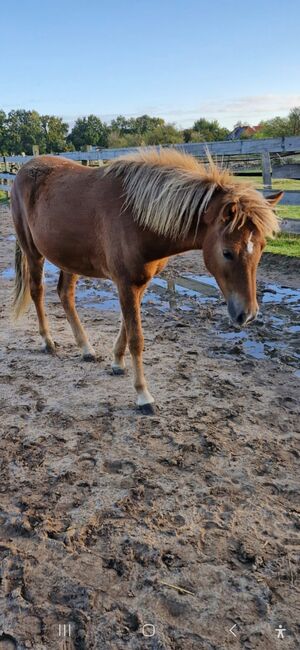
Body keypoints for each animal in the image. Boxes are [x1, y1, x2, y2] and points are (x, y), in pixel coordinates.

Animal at [9, 147, 282, 412]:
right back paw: (48, 342)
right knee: (37, 291)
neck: (136, 218)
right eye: (227, 252)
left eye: (261, 247)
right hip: (33, 252)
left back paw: (86, 348)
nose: (247, 314)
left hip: (70, 258)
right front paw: (143, 395)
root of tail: (23, 170)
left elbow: (126, 326)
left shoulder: (140, 282)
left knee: (65, 294)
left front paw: (117, 363)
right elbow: (136, 338)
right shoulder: (125, 283)